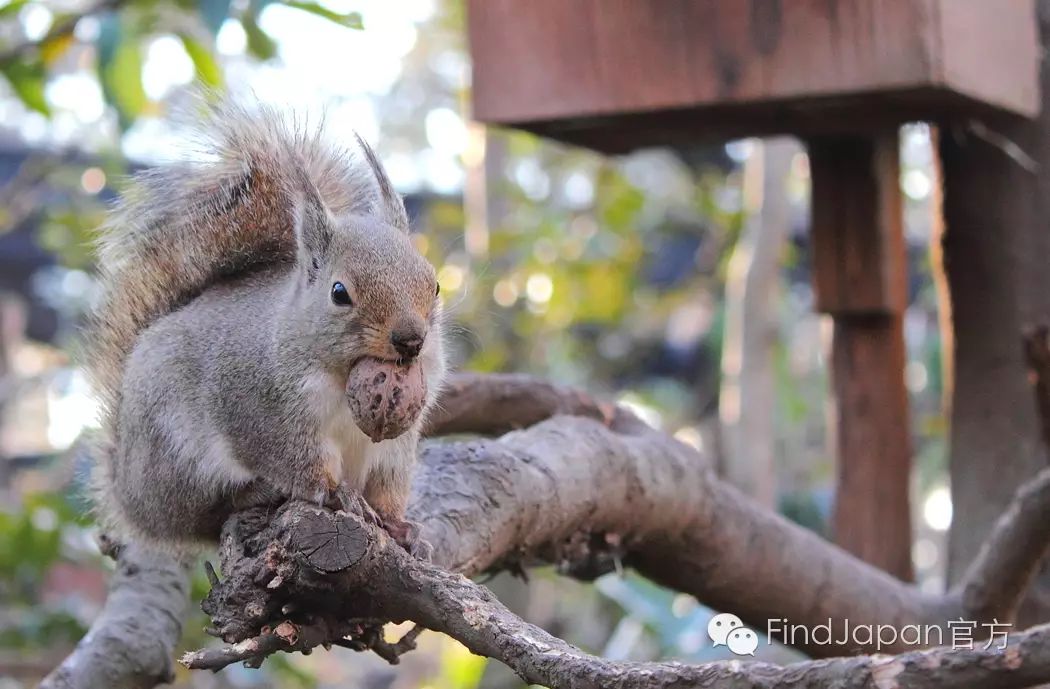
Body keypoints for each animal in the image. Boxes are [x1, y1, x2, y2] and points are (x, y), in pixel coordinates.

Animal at [89, 99, 447, 554]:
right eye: (339, 293)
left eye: (435, 285)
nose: (411, 340)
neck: (337, 373)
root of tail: (127, 492)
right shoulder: (263, 414)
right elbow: (300, 465)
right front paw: (339, 495)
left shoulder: (396, 444)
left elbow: (388, 486)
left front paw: (400, 527)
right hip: (176, 453)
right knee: (203, 514)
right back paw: (254, 493)